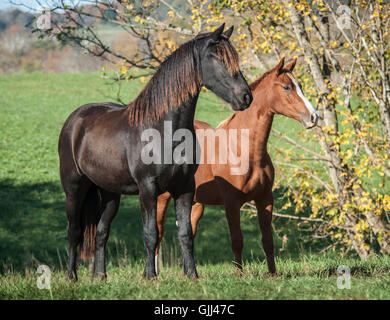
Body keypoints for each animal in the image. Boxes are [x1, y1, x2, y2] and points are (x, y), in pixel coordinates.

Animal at [58, 24, 253, 280]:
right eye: (217, 57)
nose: (246, 97)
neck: (164, 129)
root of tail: (75, 120)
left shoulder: (185, 188)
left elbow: (186, 234)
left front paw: (192, 275)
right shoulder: (148, 188)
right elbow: (150, 233)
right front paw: (150, 275)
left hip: (110, 193)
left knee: (101, 231)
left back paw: (100, 276)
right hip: (74, 189)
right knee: (74, 231)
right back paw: (72, 277)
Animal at [155, 57, 316, 272]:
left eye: (300, 87)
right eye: (286, 87)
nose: (314, 117)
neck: (242, 149)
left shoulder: (265, 199)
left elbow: (267, 240)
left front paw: (273, 274)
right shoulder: (231, 202)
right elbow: (237, 240)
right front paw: (239, 274)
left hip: (196, 203)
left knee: (189, 234)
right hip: (162, 198)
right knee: (158, 233)